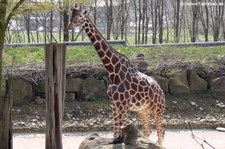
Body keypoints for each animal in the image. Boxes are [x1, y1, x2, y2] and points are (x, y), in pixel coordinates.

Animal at [68, 3, 165, 146]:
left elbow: (121, 126)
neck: (112, 70)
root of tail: (161, 91)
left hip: (157, 108)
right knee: (148, 130)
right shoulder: (114, 103)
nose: (69, 26)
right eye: (71, 15)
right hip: (143, 110)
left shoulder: (123, 104)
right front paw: (116, 139)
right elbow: (116, 129)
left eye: (80, 15)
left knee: (160, 131)